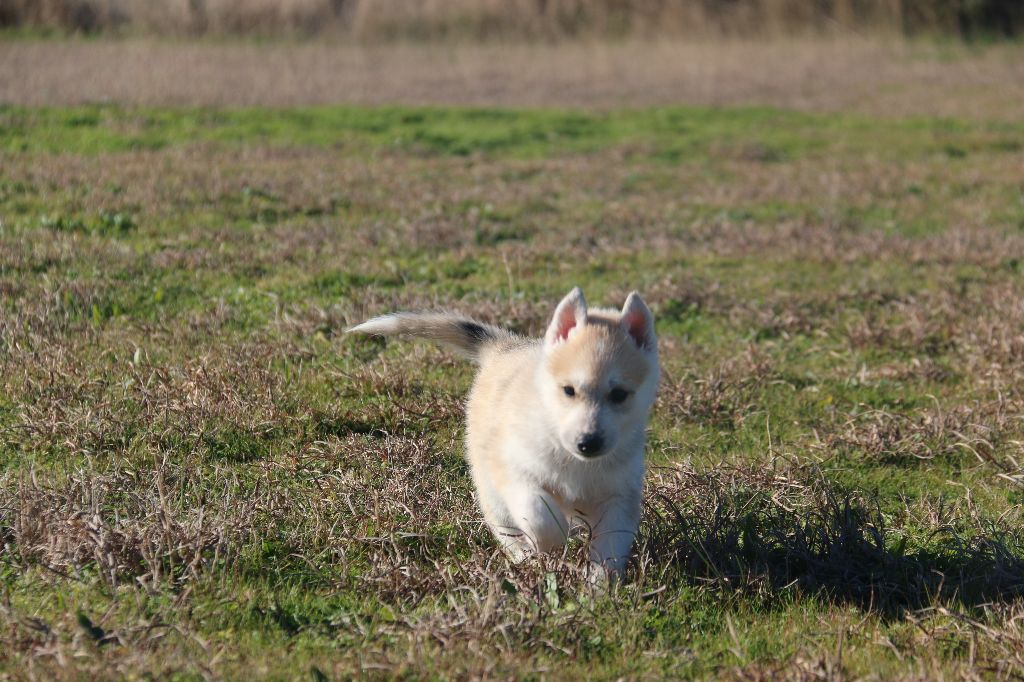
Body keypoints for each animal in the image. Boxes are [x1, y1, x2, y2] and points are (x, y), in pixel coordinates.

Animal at [348, 287, 659, 580]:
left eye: (619, 394)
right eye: (569, 390)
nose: (588, 443)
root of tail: (506, 347)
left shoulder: (619, 498)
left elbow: (609, 549)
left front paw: (597, 589)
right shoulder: (514, 473)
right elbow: (540, 515)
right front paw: (550, 546)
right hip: (491, 492)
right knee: (505, 531)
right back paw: (526, 557)